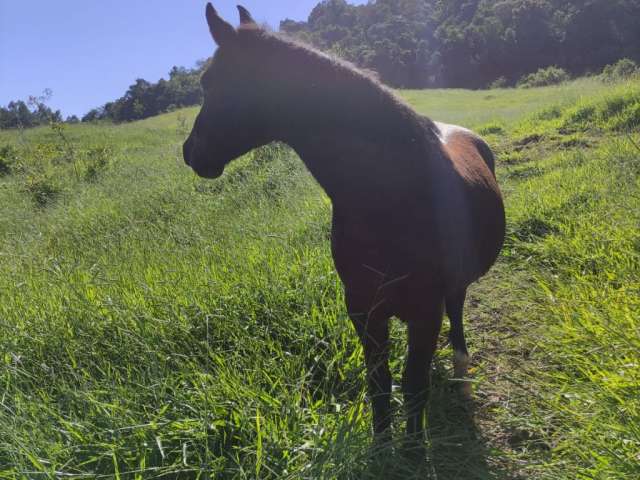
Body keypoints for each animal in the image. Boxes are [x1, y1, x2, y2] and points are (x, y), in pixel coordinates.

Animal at [184, 4, 504, 446]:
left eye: (208, 81)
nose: (189, 152)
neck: (392, 199)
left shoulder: (424, 310)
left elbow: (413, 385)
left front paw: (411, 450)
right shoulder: (363, 308)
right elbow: (380, 383)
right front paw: (382, 446)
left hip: (451, 290)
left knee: (456, 314)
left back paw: (462, 373)